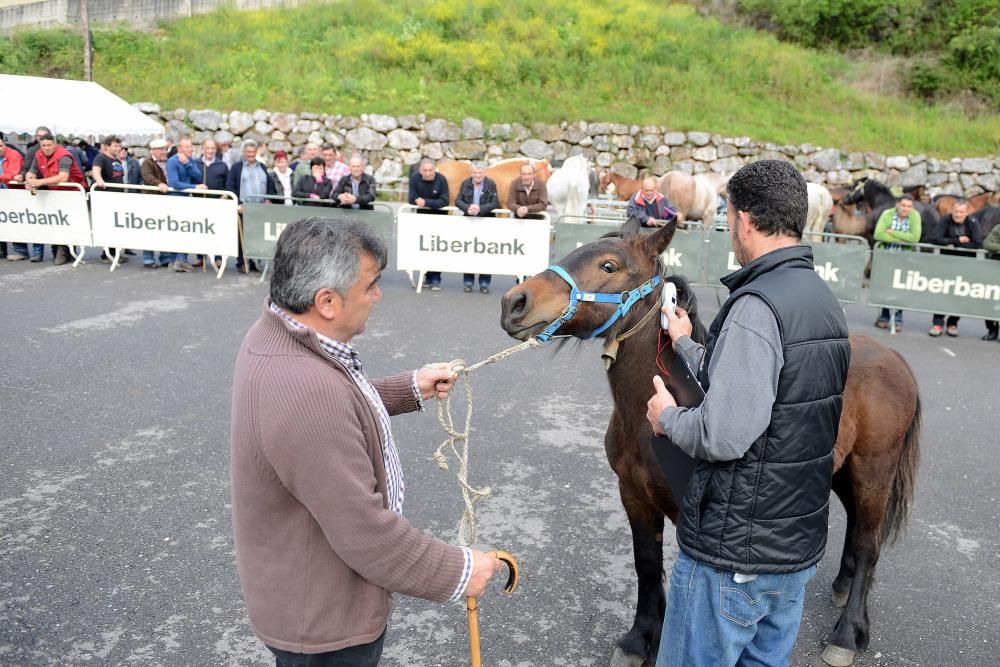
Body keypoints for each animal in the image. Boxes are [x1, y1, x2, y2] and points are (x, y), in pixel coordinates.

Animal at [500, 219, 920, 667]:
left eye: (608, 265)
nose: (515, 302)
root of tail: (893, 357)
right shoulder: (633, 495)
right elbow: (646, 563)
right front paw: (640, 639)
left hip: (874, 472)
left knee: (869, 542)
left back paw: (846, 633)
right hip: (842, 473)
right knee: (857, 529)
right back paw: (842, 587)